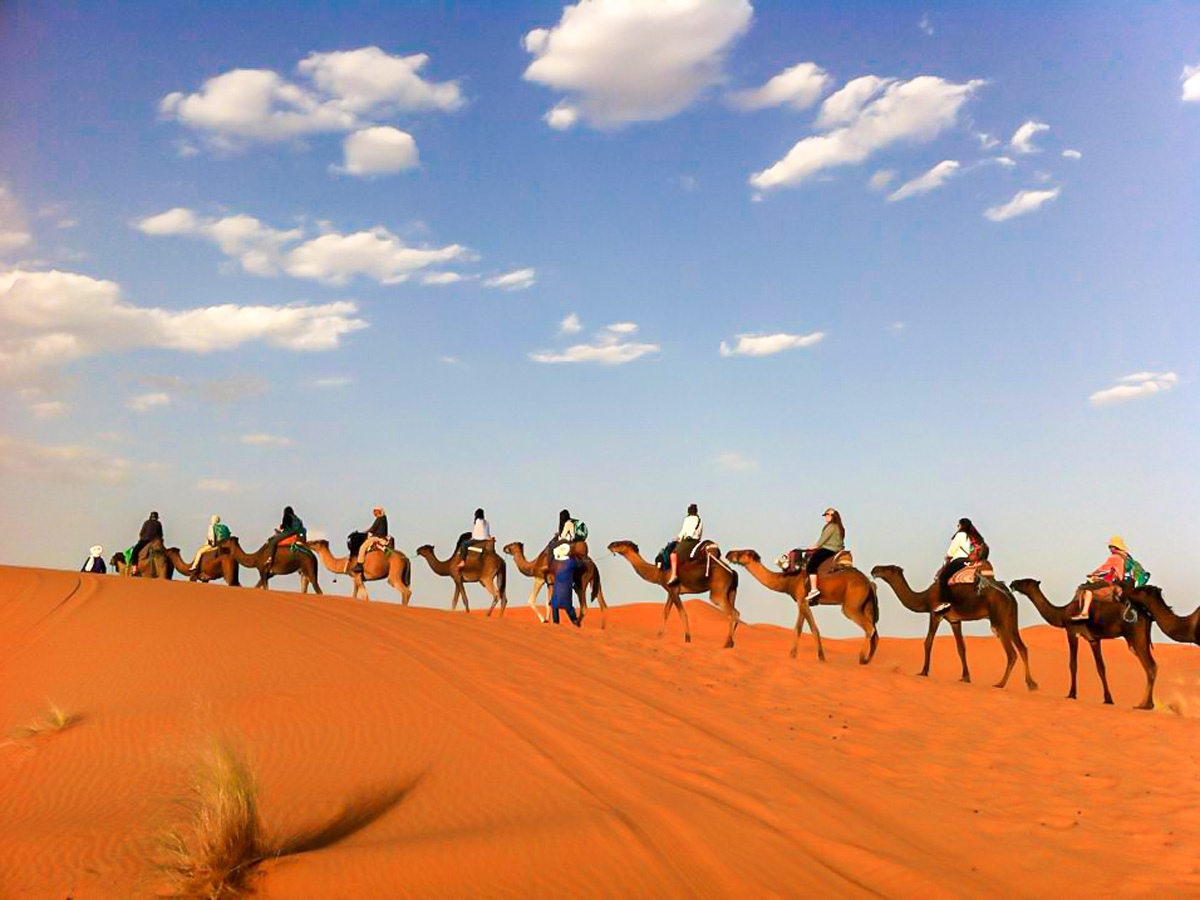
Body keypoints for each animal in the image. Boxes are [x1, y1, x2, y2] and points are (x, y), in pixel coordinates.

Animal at [609, 542, 739, 648]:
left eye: (620, 544)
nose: (610, 545)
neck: (658, 572)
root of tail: (732, 571)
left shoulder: (674, 590)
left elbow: (682, 613)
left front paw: (687, 638)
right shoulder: (670, 592)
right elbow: (665, 612)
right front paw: (659, 636)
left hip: (717, 592)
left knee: (732, 613)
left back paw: (727, 643)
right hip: (731, 591)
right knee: (735, 612)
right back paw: (731, 643)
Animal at [724, 547, 878, 667]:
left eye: (742, 552)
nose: (728, 553)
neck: (788, 581)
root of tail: (869, 583)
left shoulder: (802, 600)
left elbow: (813, 628)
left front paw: (821, 657)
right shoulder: (801, 602)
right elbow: (798, 628)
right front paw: (792, 655)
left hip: (851, 606)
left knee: (869, 628)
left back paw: (862, 658)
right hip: (867, 605)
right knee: (875, 632)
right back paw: (868, 660)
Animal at [868, 564, 1036, 691]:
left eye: (888, 568)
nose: (874, 569)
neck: (924, 598)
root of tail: (1009, 595)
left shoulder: (935, 613)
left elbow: (928, 642)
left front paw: (923, 672)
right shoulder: (955, 621)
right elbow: (961, 647)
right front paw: (965, 677)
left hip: (999, 620)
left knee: (1011, 653)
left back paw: (1000, 684)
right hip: (1011, 619)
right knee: (1022, 647)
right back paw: (1031, 684)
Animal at [1012, 578, 1152, 710]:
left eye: (1024, 582)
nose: (1013, 583)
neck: (1062, 613)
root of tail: (1146, 615)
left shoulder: (1072, 632)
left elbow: (1073, 664)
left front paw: (1071, 694)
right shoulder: (1093, 640)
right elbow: (1100, 667)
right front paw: (1108, 699)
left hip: (1136, 635)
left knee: (1150, 665)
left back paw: (1147, 704)